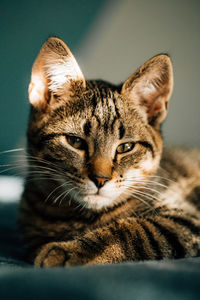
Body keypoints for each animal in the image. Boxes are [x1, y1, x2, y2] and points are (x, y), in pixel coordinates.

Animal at [19, 37, 200, 268]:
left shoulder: (186, 217)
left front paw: (69, 251)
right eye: (75, 141)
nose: (100, 179)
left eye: (125, 147)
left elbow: (134, 230)